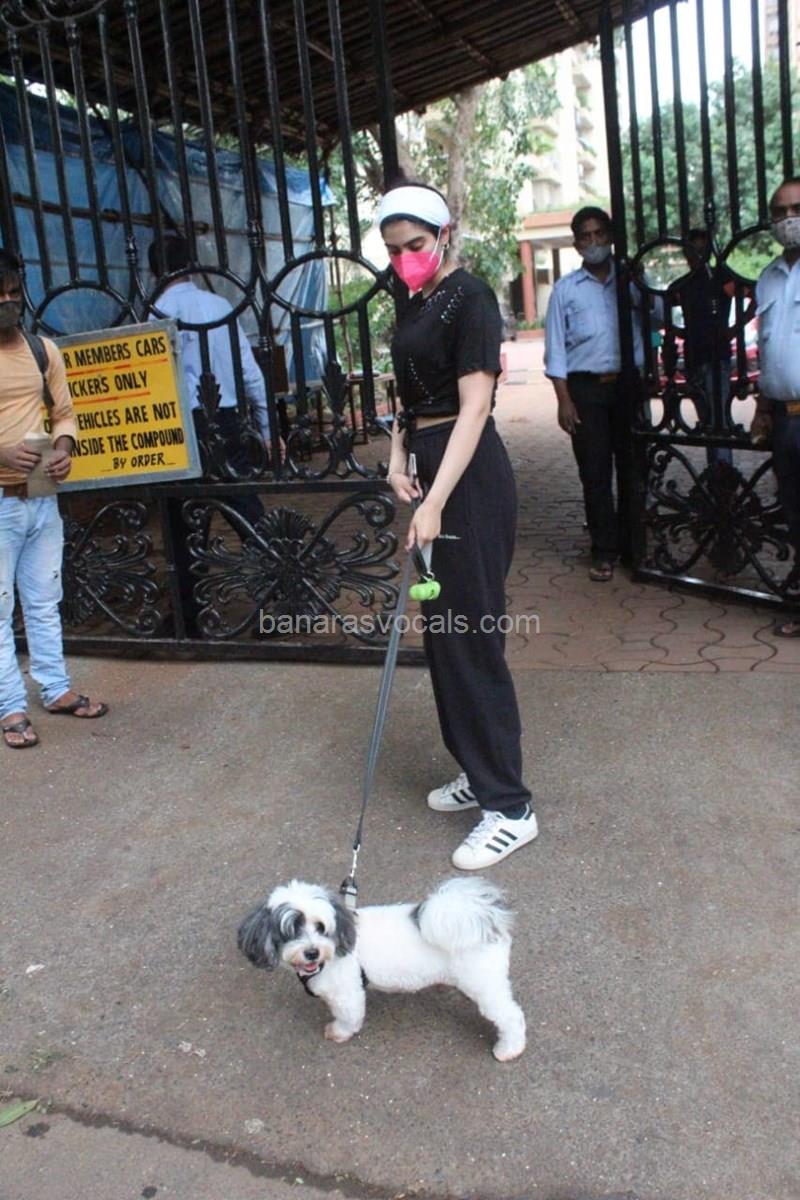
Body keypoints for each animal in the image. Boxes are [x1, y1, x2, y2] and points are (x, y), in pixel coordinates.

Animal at [237, 876, 526, 1061]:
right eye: (292, 930)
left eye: (320, 927)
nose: (312, 951)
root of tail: (485, 919)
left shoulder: (347, 994)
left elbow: (348, 1017)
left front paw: (339, 1032)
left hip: (483, 983)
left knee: (511, 1016)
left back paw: (509, 1049)